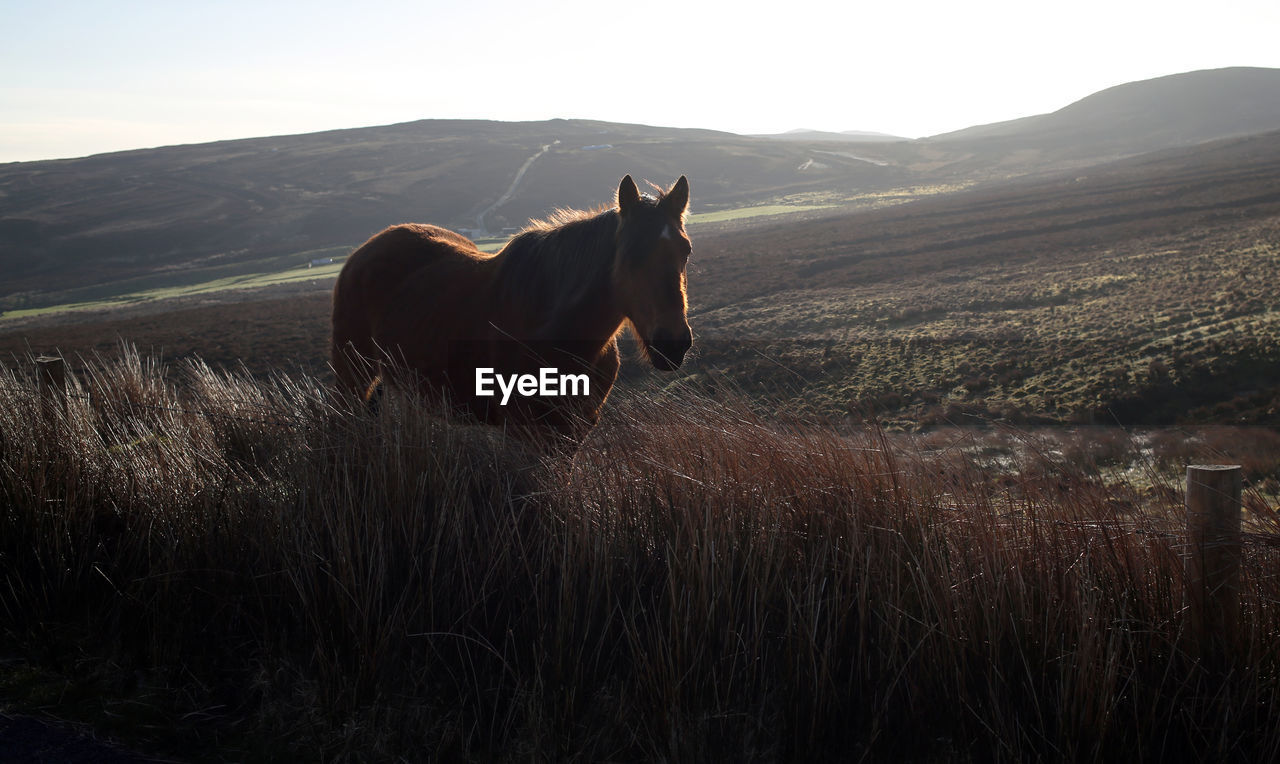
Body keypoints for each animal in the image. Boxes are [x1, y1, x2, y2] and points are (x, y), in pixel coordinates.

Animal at [330, 172, 691, 447]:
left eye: (685, 250)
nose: (672, 344)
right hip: (353, 375)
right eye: (628, 254)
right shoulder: (527, 432)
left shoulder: (576, 428)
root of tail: (364, 251)